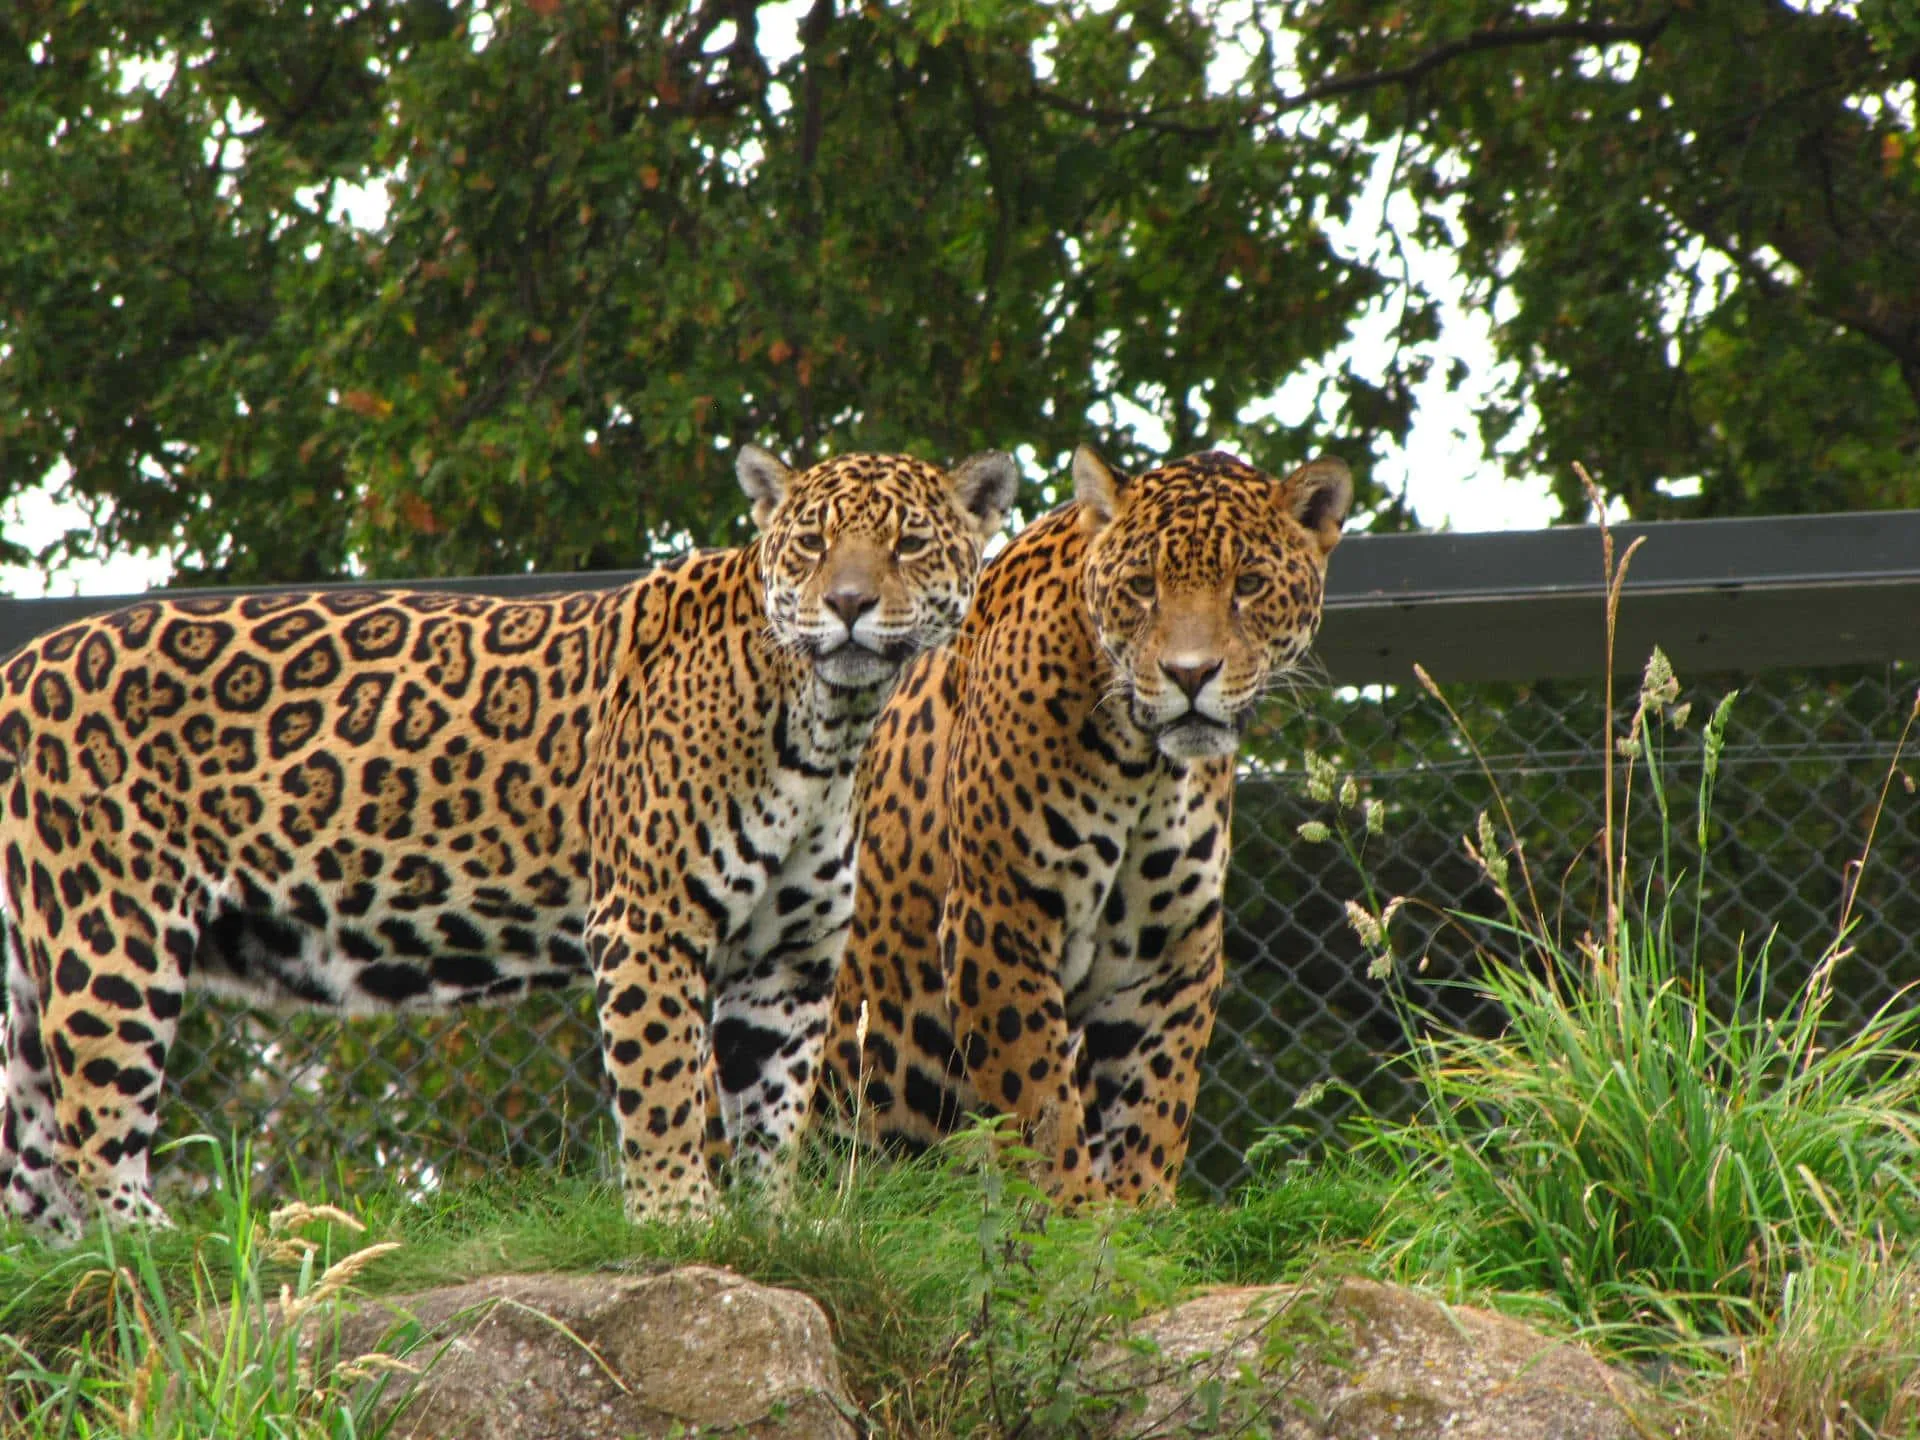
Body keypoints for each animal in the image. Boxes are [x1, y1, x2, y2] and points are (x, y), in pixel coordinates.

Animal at [0, 442, 1018, 1243]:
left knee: (30, 1156)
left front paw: (778, 1227)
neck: (827, 728)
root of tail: (22, 662)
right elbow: (663, 1090)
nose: (846, 604)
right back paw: (176, 1250)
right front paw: (679, 1220)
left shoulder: (790, 961)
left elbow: (773, 1106)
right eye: (811, 545)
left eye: (907, 543)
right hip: (112, 934)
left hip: (39, 967)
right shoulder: (647, 925)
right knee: (93, 1135)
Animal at [815, 445, 1351, 1204]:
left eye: (1247, 584)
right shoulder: (1000, 915)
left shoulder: (1174, 944)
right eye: (1141, 585)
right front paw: (1069, 1205)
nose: (1190, 675)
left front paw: (1142, 1207)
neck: (1145, 766)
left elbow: (1158, 1094)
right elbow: (1038, 1092)